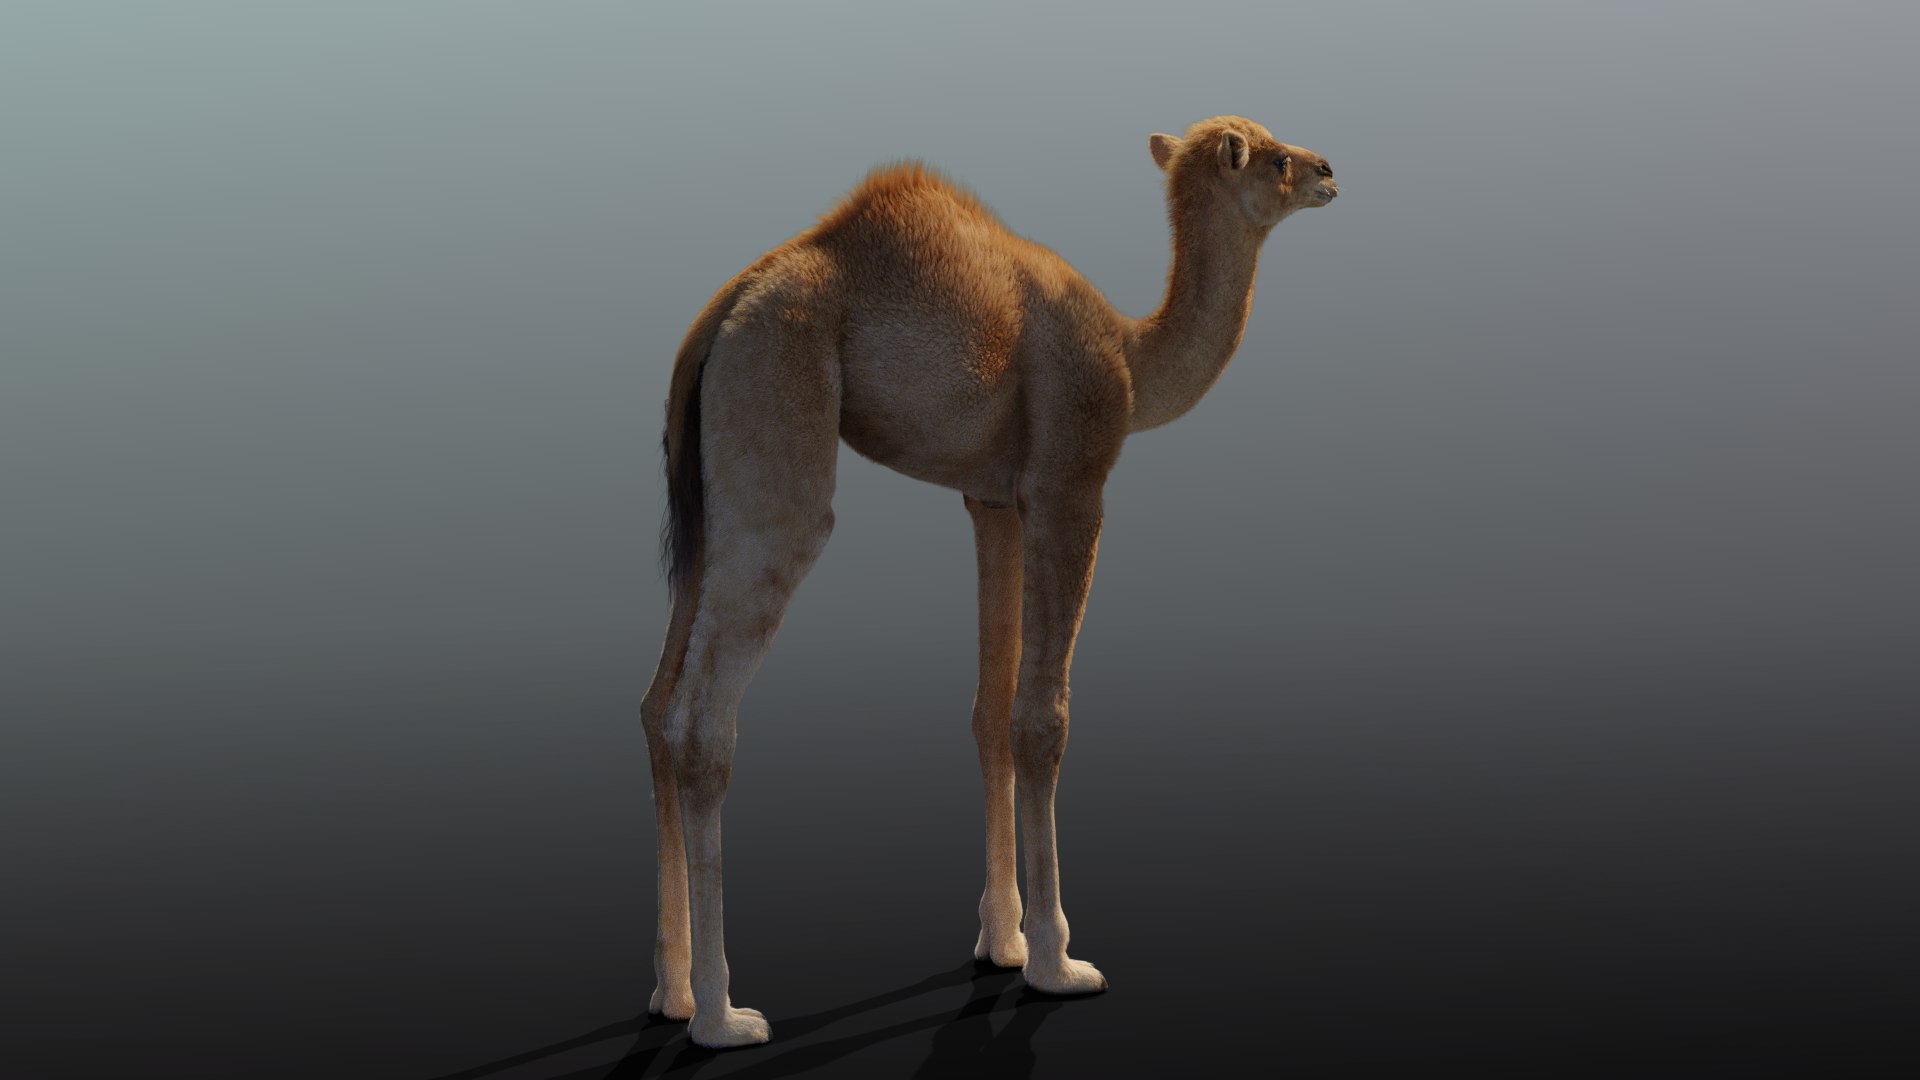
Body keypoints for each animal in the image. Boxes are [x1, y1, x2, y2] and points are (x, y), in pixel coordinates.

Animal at [639, 115, 1338, 1048]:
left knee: (656, 704)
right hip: (777, 420)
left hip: (708, 496)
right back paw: (724, 1015)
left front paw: (1001, 942)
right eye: (1273, 158)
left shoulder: (993, 501)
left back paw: (674, 994)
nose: (1330, 169)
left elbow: (988, 713)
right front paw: (1057, 961)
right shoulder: (1068, 486)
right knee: (703, 718)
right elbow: (1041, 721)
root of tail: (719, 316)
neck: (1131, 355)